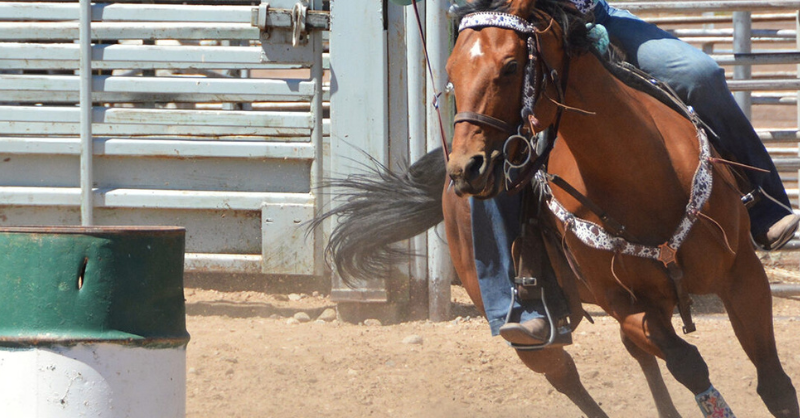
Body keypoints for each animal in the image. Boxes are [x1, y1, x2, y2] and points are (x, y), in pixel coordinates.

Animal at [314, 0, 798, 416]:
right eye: (450, 71)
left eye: (511, 66)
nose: (467, 168)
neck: (645, 176)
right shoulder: (624, 303)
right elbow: (689, 364)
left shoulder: (743, 276)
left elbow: (775, 385)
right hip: (527, 331)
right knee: (567, 376)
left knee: (637, 357)